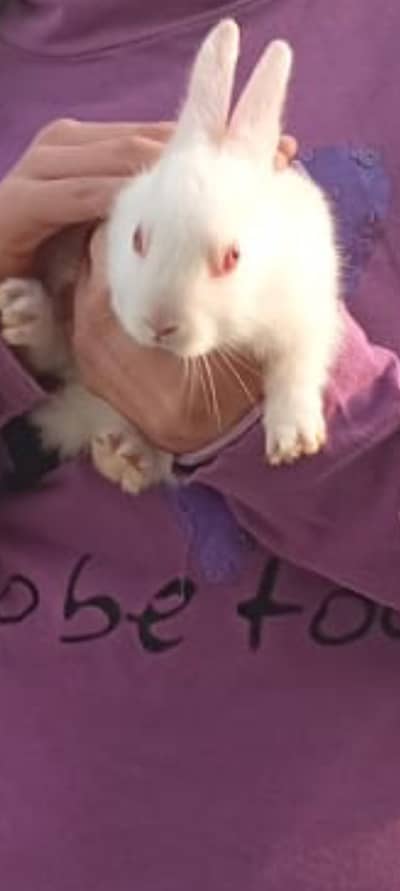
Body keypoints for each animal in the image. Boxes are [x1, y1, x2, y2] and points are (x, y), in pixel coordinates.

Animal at [0, 18, 341, 494]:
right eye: (138, 239)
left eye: (232, 257)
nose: (159, 325)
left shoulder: (307, 310)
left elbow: (296, 367)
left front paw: (293, 439)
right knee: (60, 353)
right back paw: (23, 312)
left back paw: (125, 455)